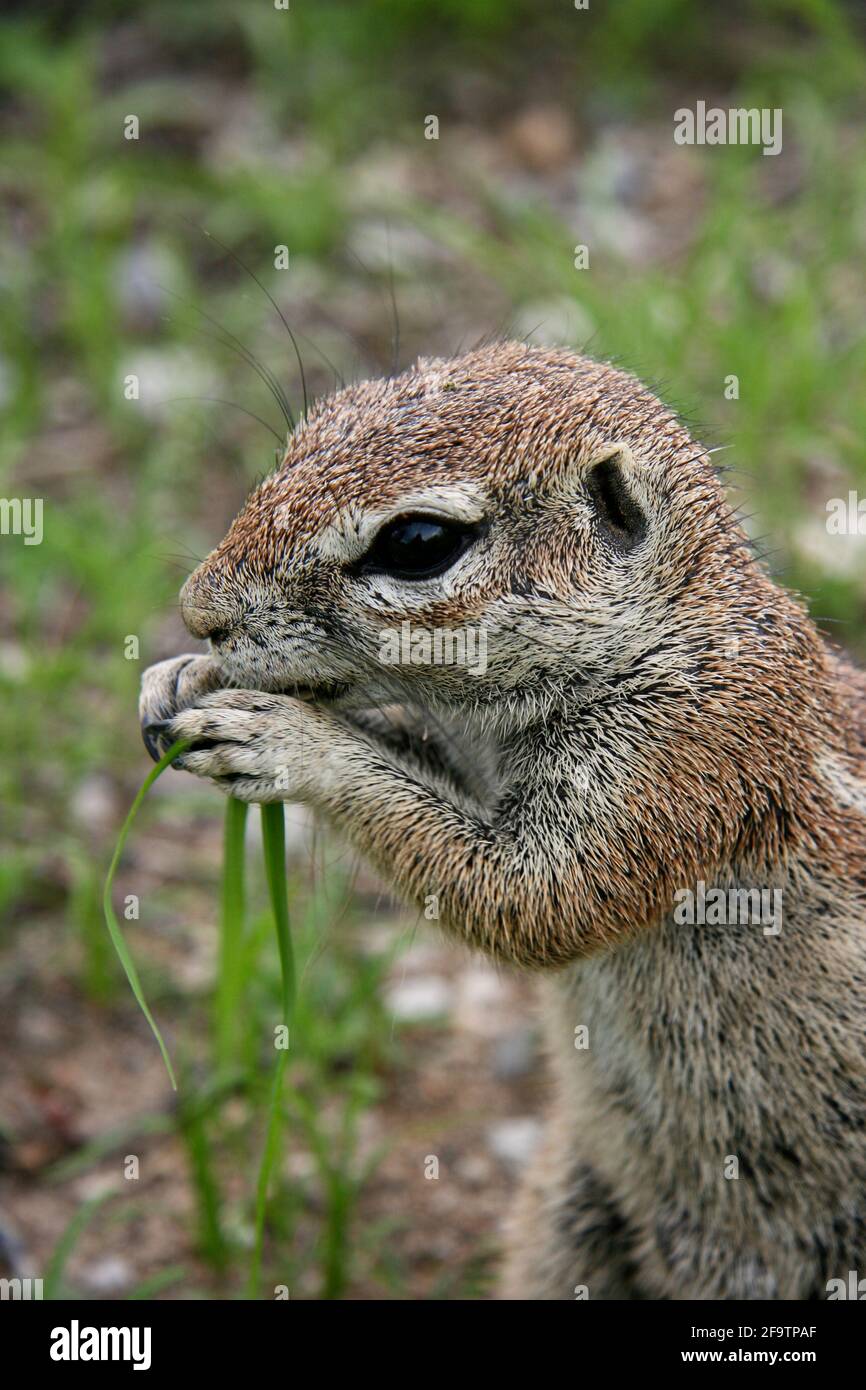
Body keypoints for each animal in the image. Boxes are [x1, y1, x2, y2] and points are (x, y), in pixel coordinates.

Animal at [139, 341, 866, 1295]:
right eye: (313, 425)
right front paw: (180, 677)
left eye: (418, 544)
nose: (200, 610)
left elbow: (534, 901)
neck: (663, 633)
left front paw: (286, 738)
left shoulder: (676, 757)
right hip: (567, 1213)